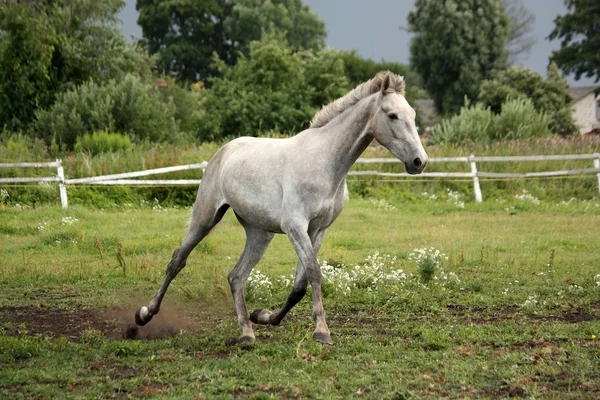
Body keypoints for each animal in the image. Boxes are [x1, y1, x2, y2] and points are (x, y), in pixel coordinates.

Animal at [136, 71, 426, 344]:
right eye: (392, 115)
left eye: (412, 114)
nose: (419, 162)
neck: (326, 162)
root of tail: (224, 150)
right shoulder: (295, 226)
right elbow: (314, 273)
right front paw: (322, 331)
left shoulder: (317, 231)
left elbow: (300, 285)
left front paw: (264, 316)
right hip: (205, 218)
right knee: (177, 261)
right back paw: (144, 315)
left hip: (259, 234)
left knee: (236, 276)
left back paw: (247, 331)